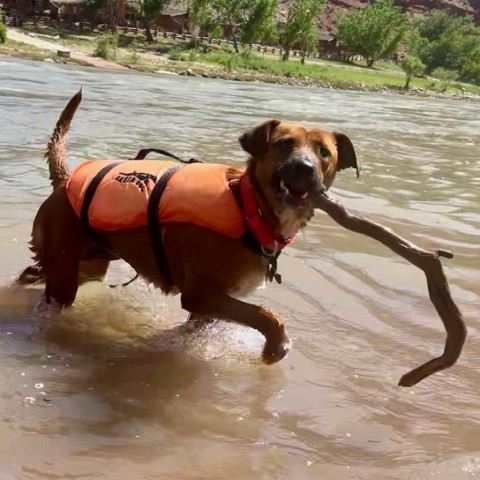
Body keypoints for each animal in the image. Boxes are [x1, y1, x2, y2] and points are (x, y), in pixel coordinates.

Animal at [16, 90, 358, 364]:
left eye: (324, 152)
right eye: (285, 144)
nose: (304, 168)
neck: (249, 207)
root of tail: (67, 180)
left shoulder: (212, 303)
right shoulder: (200, 294)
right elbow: (266, 315)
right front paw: (276, 347)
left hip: (91, 261)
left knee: (37, 272)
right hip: (66, 272)